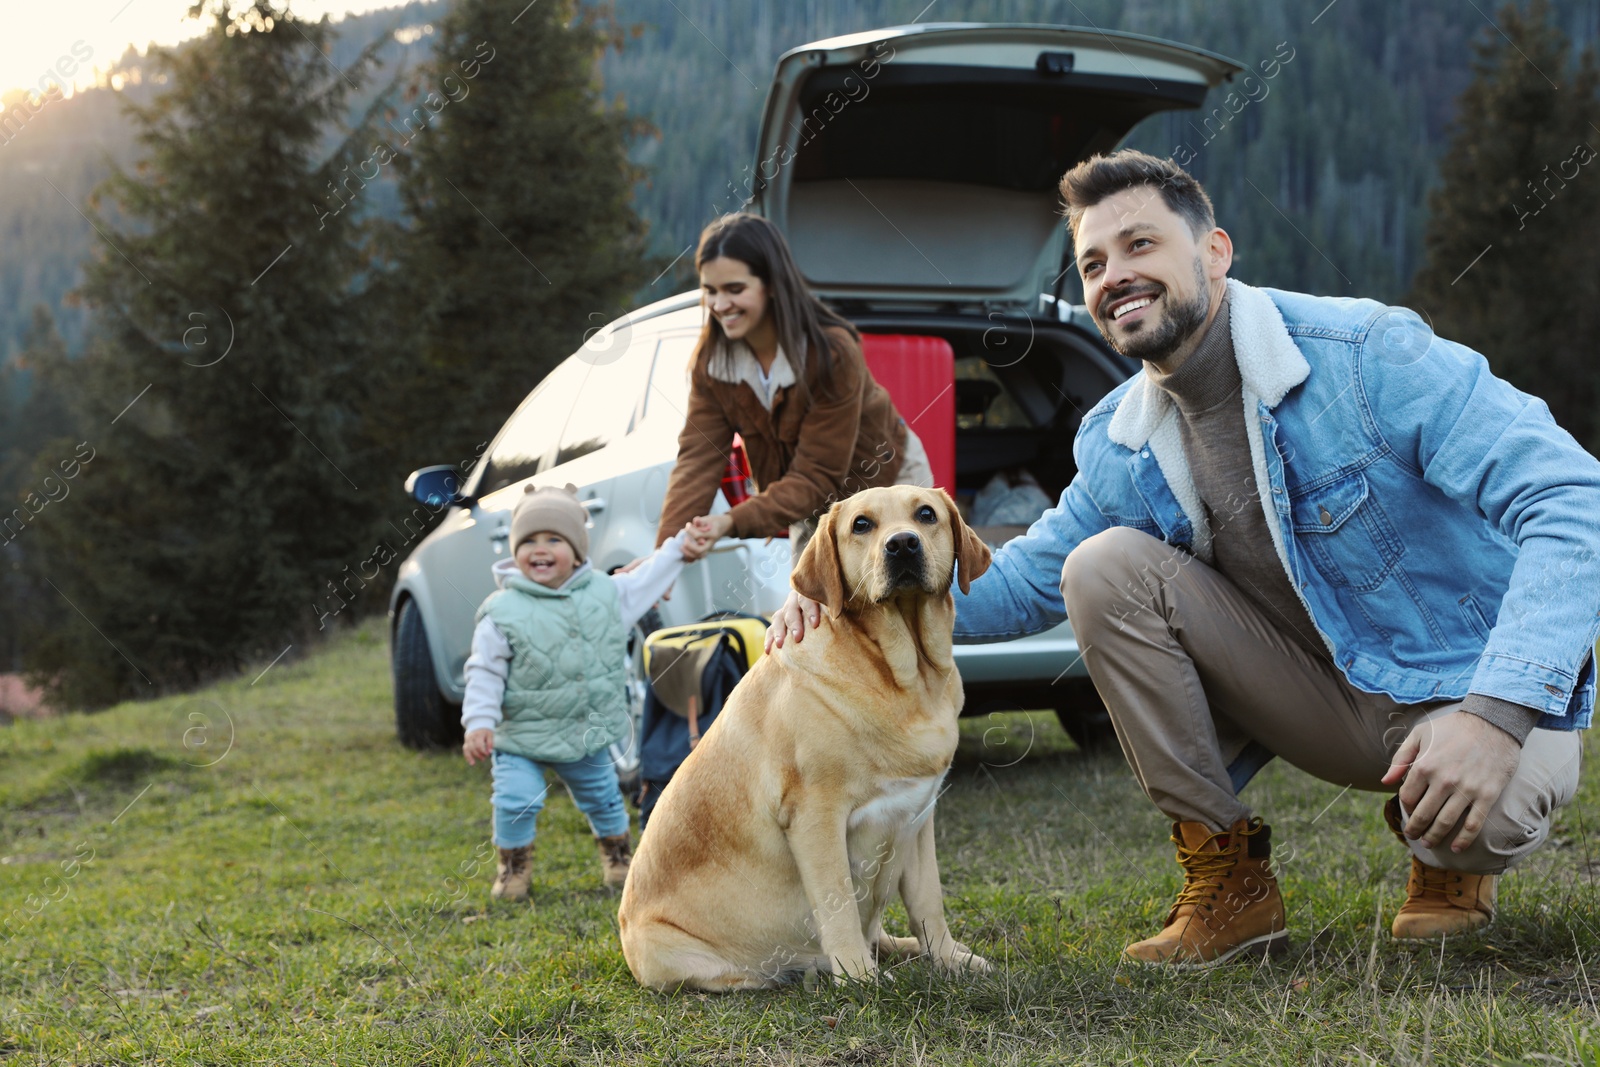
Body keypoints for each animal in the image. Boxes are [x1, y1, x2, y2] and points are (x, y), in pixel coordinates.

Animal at [614, 483, 979, 991]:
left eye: (926, 515)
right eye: (861, 524)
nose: (903, 545)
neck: (904, 678)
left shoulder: (918, 815)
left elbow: (929, 903)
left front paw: (947, 958)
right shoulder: (815, 817)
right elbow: (838, 904)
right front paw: (859, 979)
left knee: (880, 933)